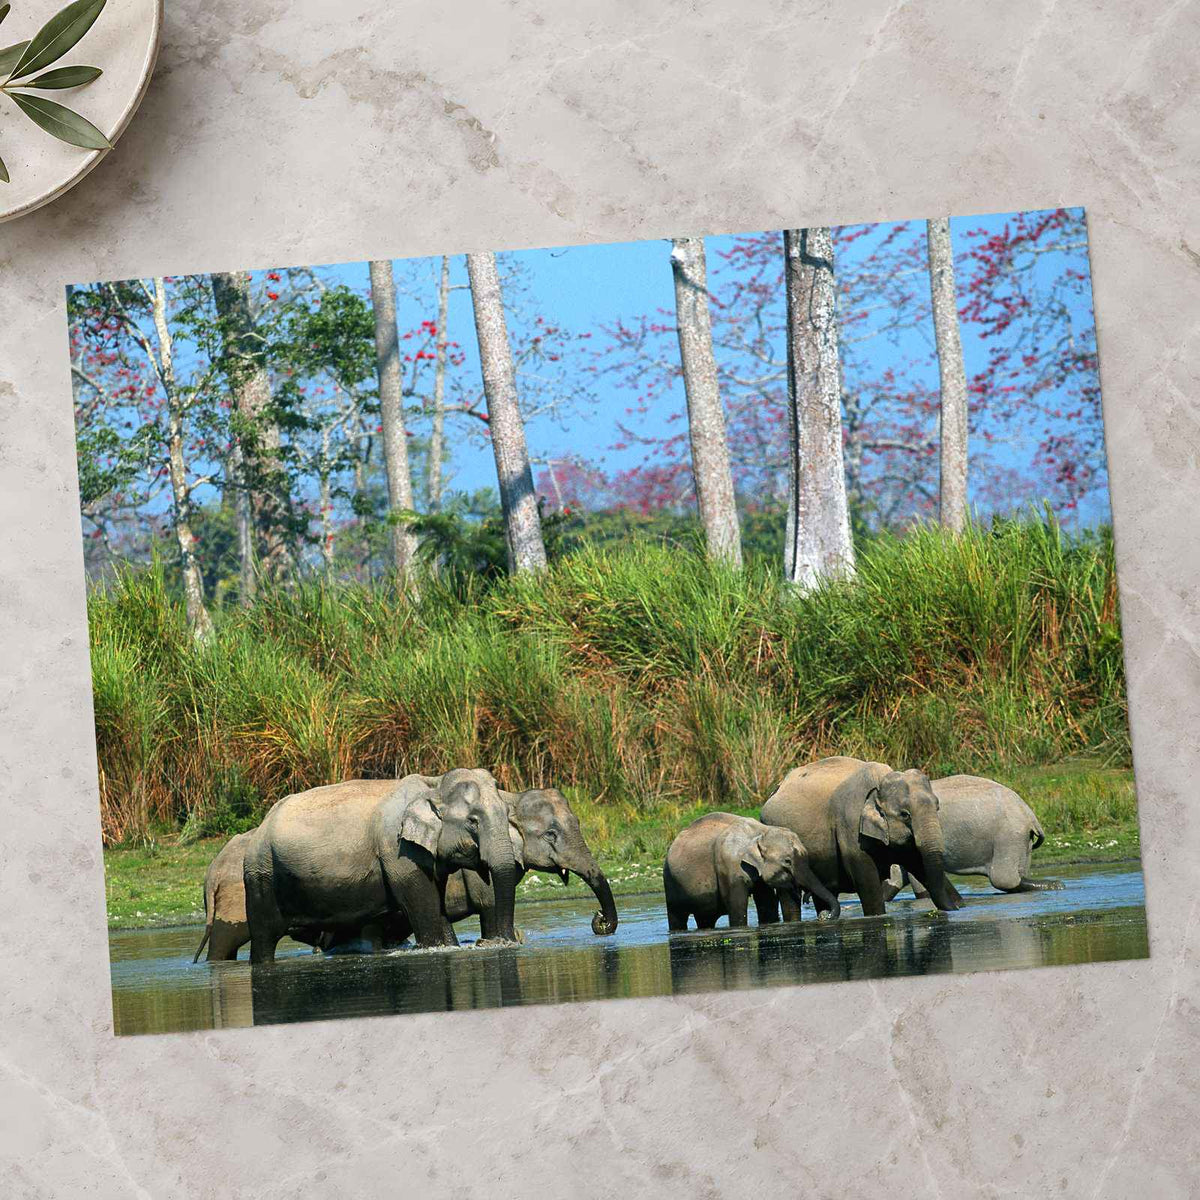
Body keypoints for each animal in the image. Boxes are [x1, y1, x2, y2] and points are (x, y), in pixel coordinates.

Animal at [242, 768, 519, 963]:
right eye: (473, 821)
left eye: (507, 813)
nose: (488, 942)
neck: (433, 783)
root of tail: (260, 826)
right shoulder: (398, 851)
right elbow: (424, 909)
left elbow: (437, 907)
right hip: (261, 875)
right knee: (264, 938)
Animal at [662, 812, 841, 931]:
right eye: (787, 861)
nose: (824, 915)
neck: (760, 831)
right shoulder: (729, 866)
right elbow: (737, 907)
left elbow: (768, 903)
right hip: (669, 881)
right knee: (677, 917)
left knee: (705, 919)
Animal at [759, 756, 964, 917]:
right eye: (905, 814)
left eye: (937, 807)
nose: (955, 909)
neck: (881, 780)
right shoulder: (850, 826)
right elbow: (867, 881)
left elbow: (919, 864)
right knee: (788, 896)